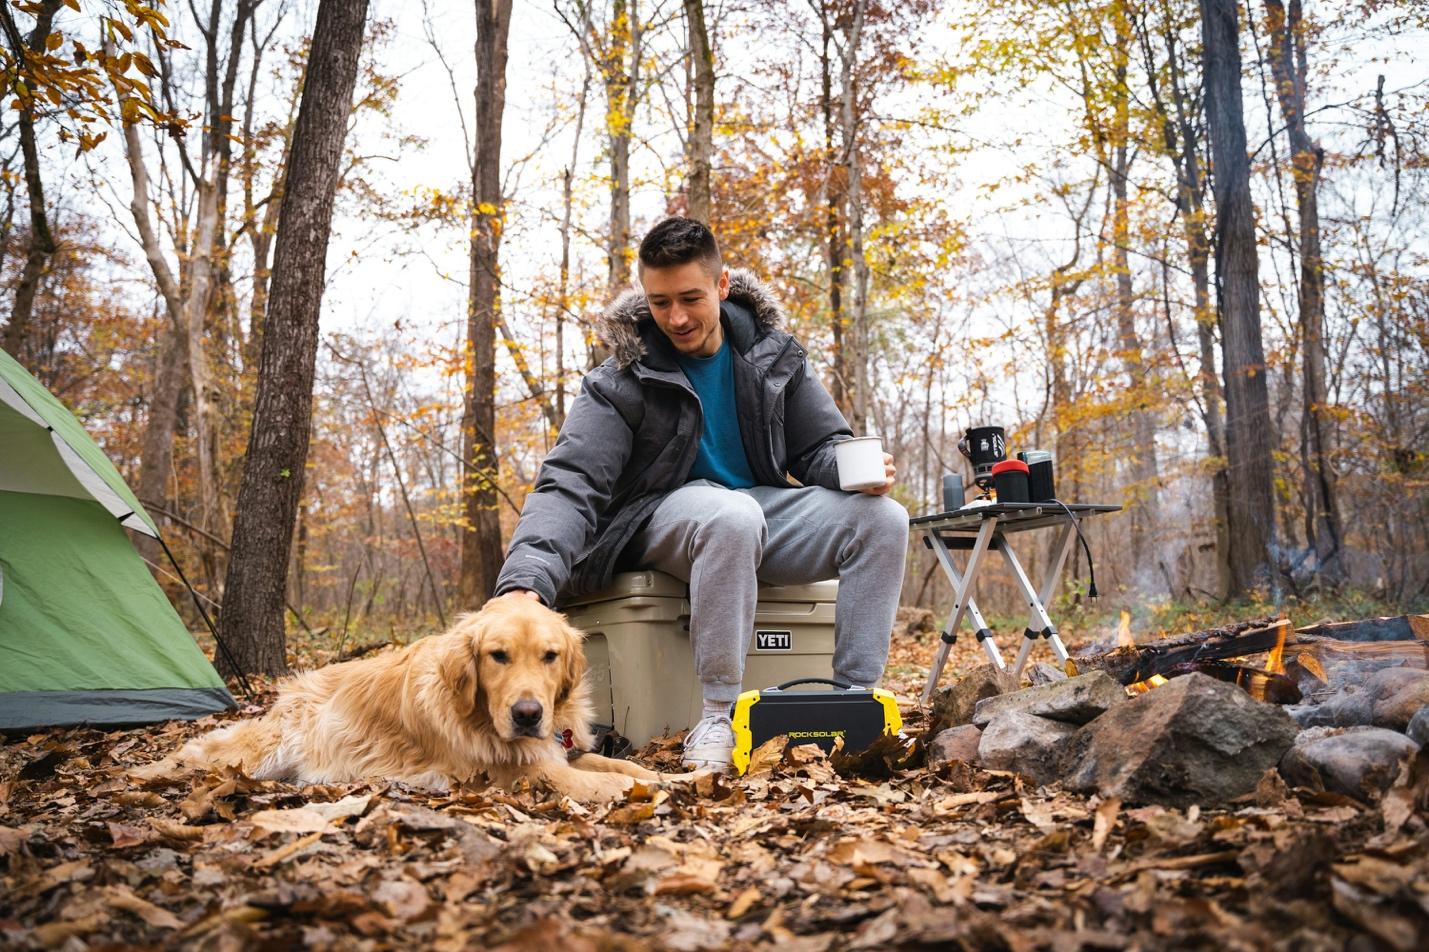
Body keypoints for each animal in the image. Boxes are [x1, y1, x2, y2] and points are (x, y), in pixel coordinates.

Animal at [147, 597, 683, 794]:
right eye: (498, 656)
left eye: (549, 656)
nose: (529, 715)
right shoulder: (523, 772)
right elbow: (605, 783)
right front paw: (658, 790)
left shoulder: (557, 751)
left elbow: (621, 766)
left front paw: (675, 776)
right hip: (262, 749)